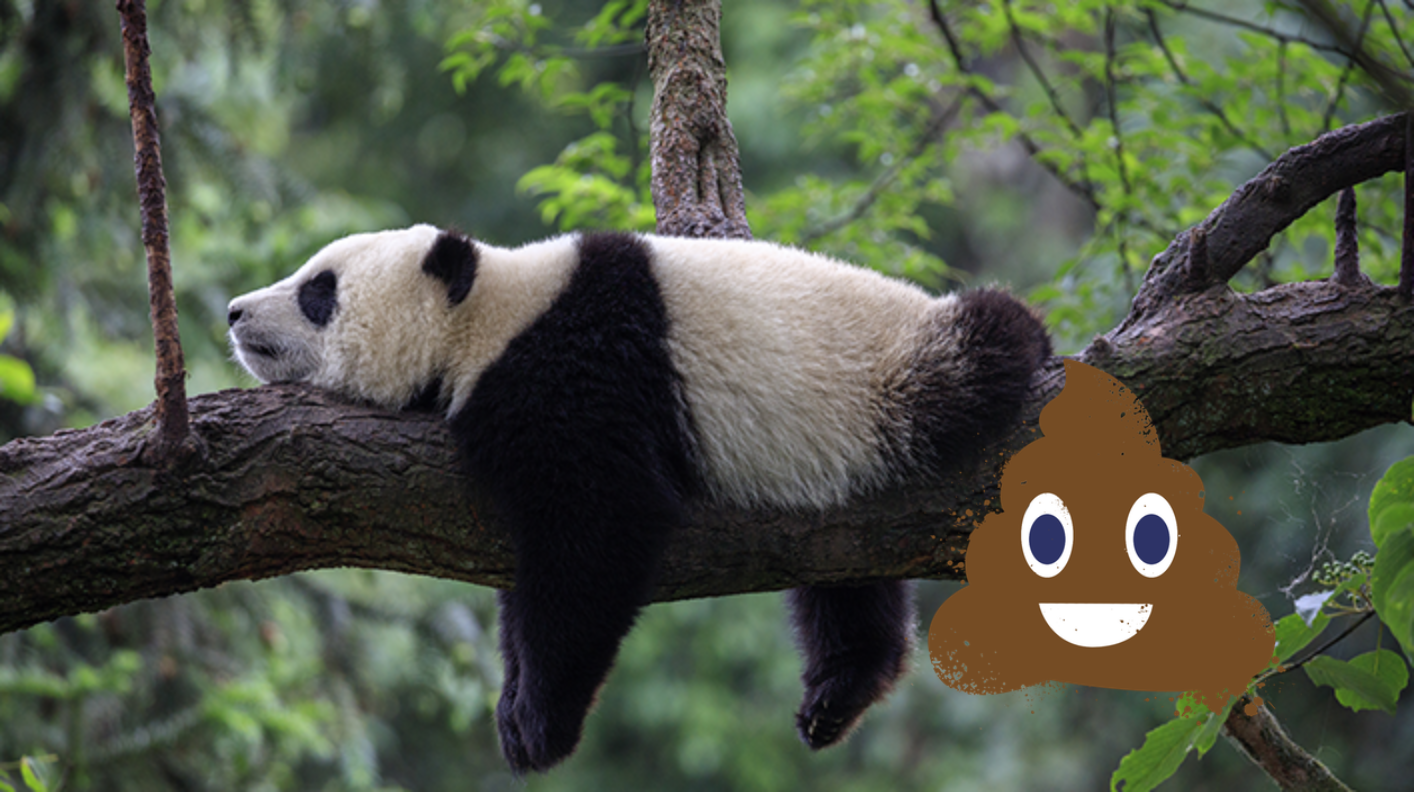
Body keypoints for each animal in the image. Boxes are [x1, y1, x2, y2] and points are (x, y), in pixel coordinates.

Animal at [226, 224, 1050, 773]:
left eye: (319, 291)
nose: (234, 311)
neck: (490, 313)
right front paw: (515, 702)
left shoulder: (580, 371)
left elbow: (598, 531)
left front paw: (538, 724)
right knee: (846, 577)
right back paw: (838, 691)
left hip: (894, 376)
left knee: (986, 343)